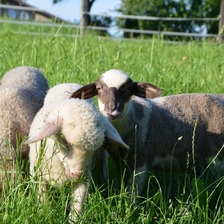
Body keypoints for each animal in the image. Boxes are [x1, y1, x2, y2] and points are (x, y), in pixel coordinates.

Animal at [26, 83, 129, 221]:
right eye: (64, 141)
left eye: (95, 149)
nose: (78, 174)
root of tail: (67, 83)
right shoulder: (39, 176)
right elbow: (43, 199)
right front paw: (44, 214)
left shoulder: (85, 179)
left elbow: (78, 205)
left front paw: (74, 219)